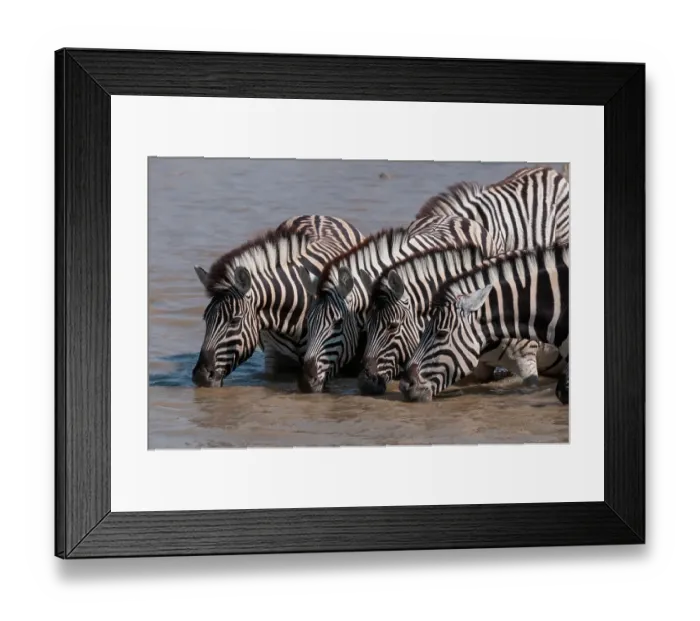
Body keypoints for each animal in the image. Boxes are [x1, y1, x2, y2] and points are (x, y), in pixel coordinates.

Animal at [191, 215, 363, 387]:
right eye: (205, 318)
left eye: (235, 321)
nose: (200, 377)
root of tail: (318, 216)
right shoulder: (274, 356)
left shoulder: (328, 355)